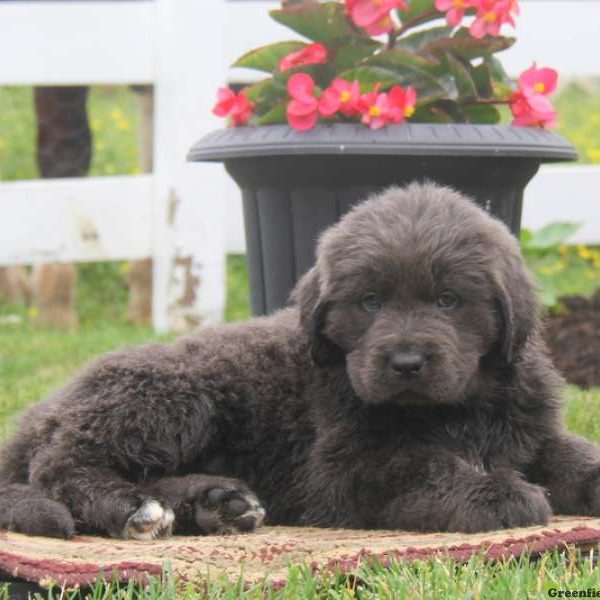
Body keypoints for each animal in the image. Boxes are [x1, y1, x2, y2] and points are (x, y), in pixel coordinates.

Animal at [1, 184, 600, 540]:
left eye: (447, 300)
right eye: (370, 302)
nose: (406, 362)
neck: (459, 409)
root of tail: (43, 410)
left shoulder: (528, 432)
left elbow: (571, 452)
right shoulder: (343, 466)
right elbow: (423, 465)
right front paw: (496, 493)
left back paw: (216, 502)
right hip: (171, 396)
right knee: (59, 466)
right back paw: (134, 508)